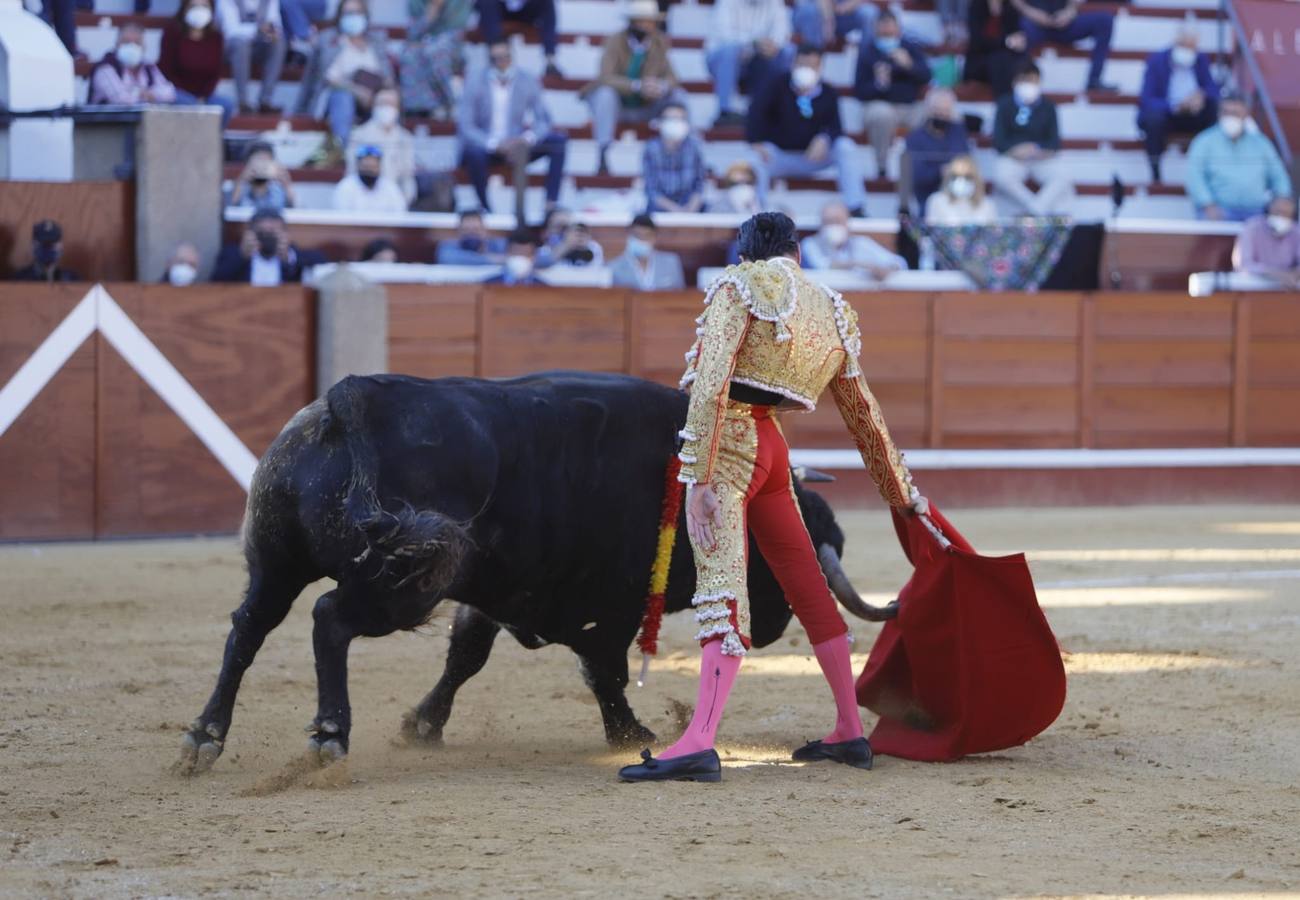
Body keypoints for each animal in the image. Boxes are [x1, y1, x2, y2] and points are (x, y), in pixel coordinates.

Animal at [180, 371, 894, 775]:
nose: (771, 627)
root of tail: (350, 401)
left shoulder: (494, 594)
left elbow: (465, 657)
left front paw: (422, 726)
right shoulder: (609, 605)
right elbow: (604, 672)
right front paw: (632, 734)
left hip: (277, 560)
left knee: (248, 628)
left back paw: (203, 739)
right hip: (401, 584)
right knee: (329, 620)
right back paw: (329, 734)